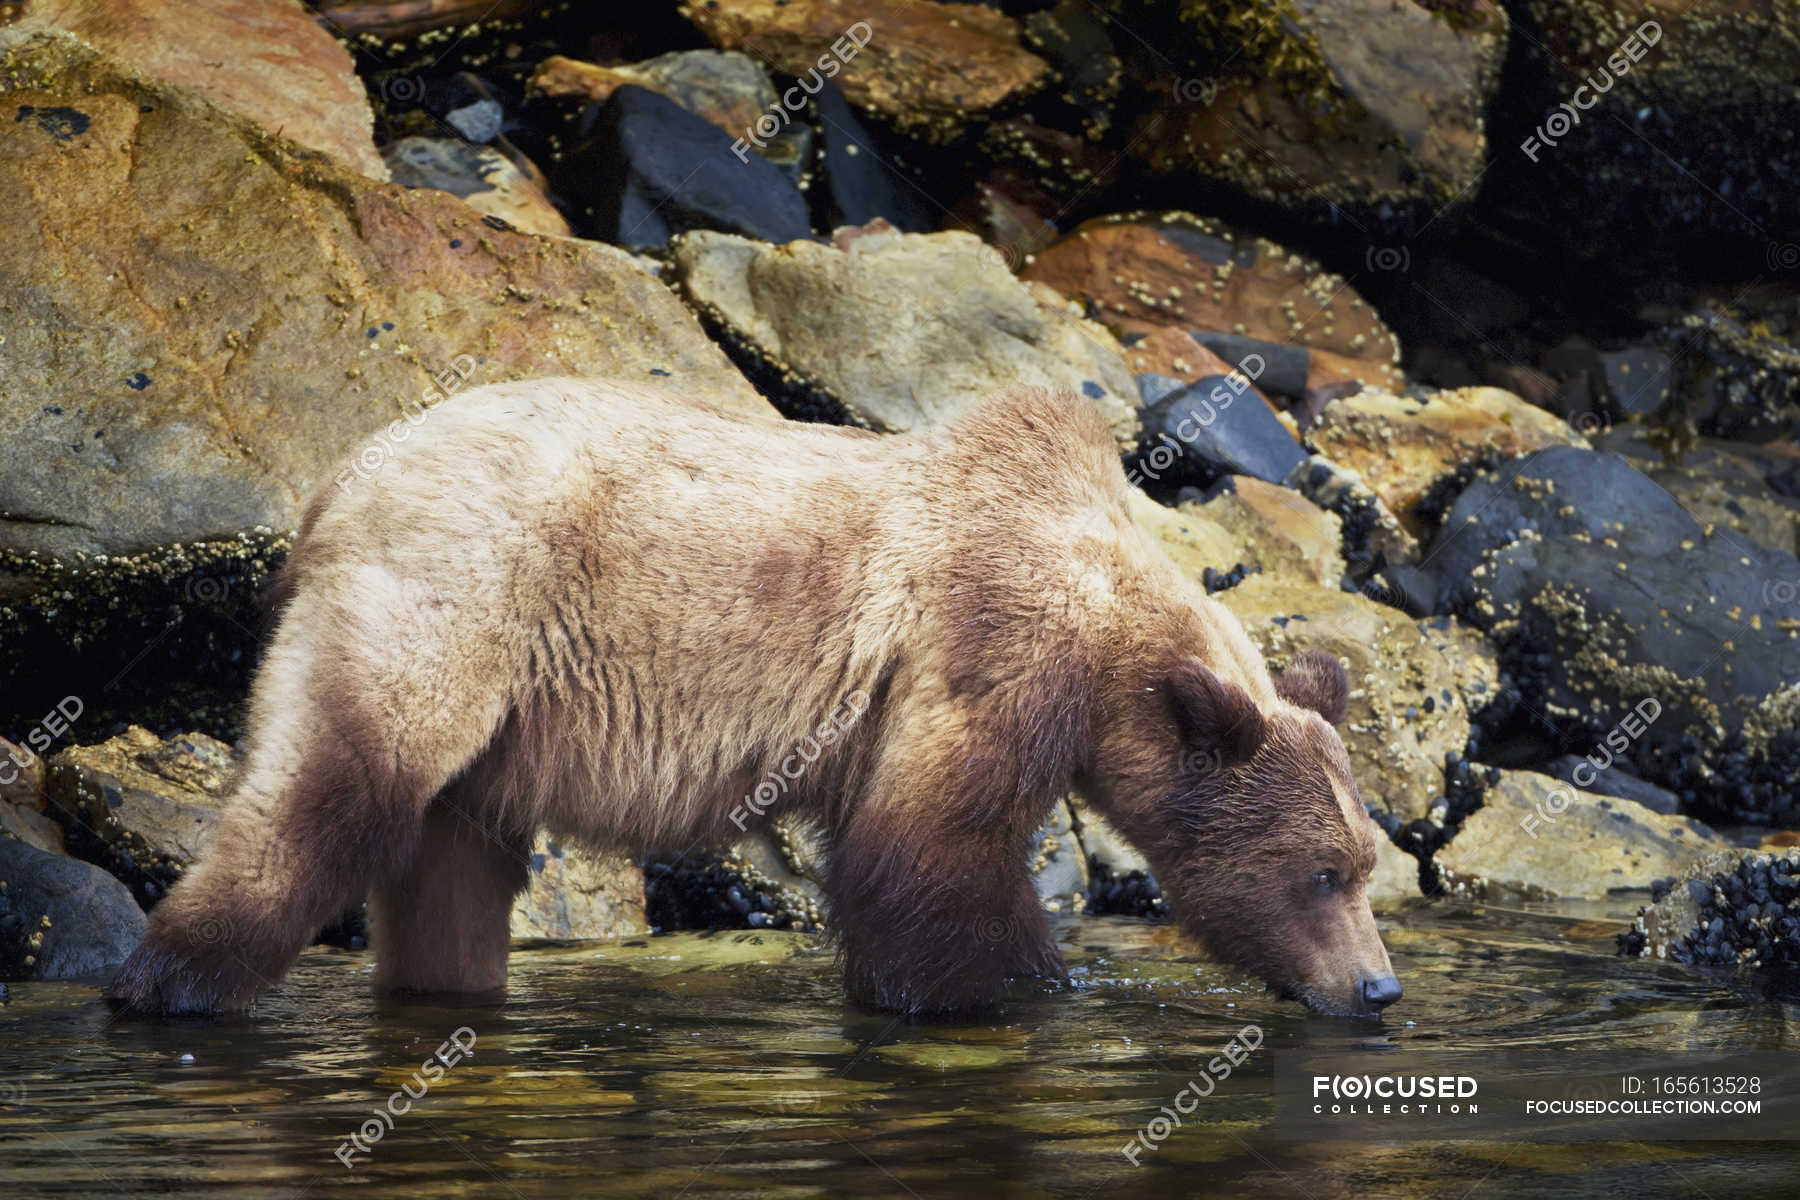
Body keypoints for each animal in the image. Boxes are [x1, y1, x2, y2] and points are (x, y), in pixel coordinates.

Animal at [108, 379, 1404, 1021]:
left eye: (1363, 862)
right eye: (1319, 873)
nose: (1378, 986)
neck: (1110, 638)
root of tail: (339, 476)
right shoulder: (986, 645)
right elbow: (927, 855)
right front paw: (1024, 989)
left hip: (492, 707)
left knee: (452, 867)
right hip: (452, 598)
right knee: (332, 788)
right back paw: (169, 986)